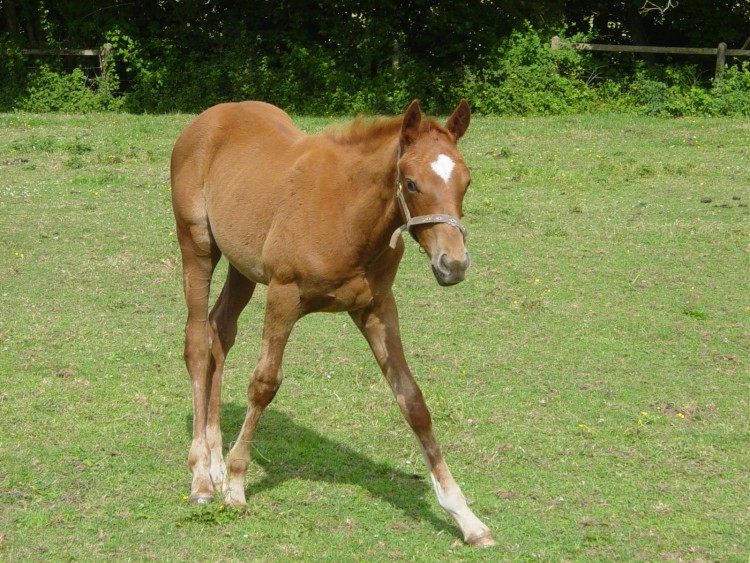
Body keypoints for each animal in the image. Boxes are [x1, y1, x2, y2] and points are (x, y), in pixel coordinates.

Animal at [173, 98, 496, 548]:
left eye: (466, 182)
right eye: (412, 183)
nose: (454, 264)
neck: (348, 210)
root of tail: (209, 117)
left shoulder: (377, 307)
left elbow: (412, 401)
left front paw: (465, 516)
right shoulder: (283, 297)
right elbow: (264, 384)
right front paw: (237, 485)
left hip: (242, 266)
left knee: (220, 334)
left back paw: (215, 465)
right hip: (198, 247)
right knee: (198, 344)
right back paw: (203, 477)